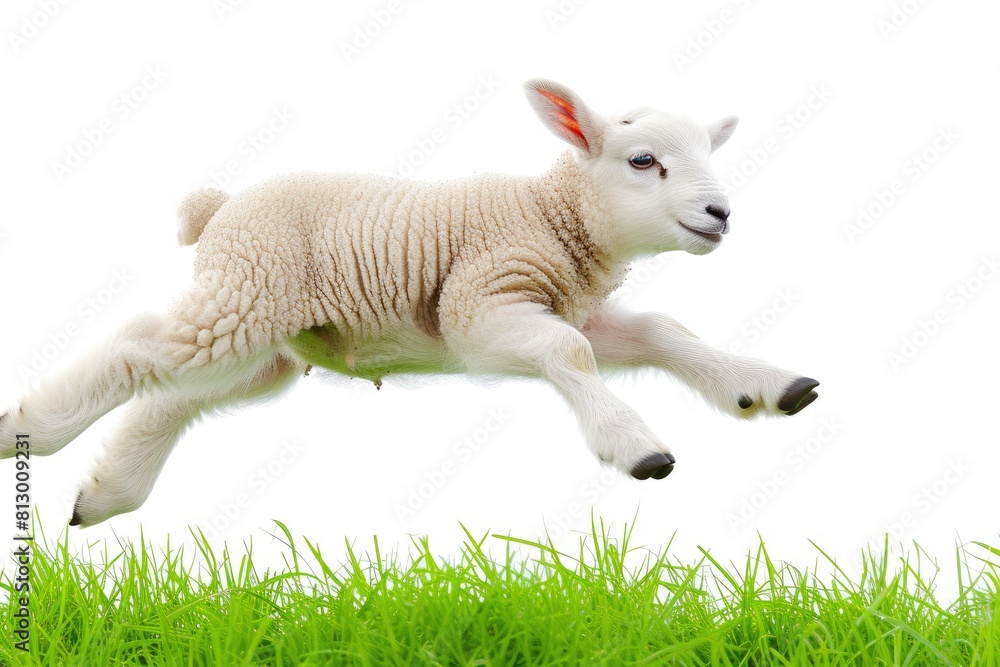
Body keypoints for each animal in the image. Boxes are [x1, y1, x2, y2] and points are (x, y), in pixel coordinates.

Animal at [0, 79, 819, 527]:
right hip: (248, 292)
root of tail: (221, 207)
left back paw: (104, 494)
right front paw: (636, 444)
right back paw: (27, 429)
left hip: (268, 338)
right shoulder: (479, 308)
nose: (720, 214)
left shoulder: (566, 302)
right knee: (141, 345)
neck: (553, 216)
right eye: (643, 161)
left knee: (175, 392)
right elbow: (571, 352)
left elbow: (659, 330)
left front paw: (765, 385)